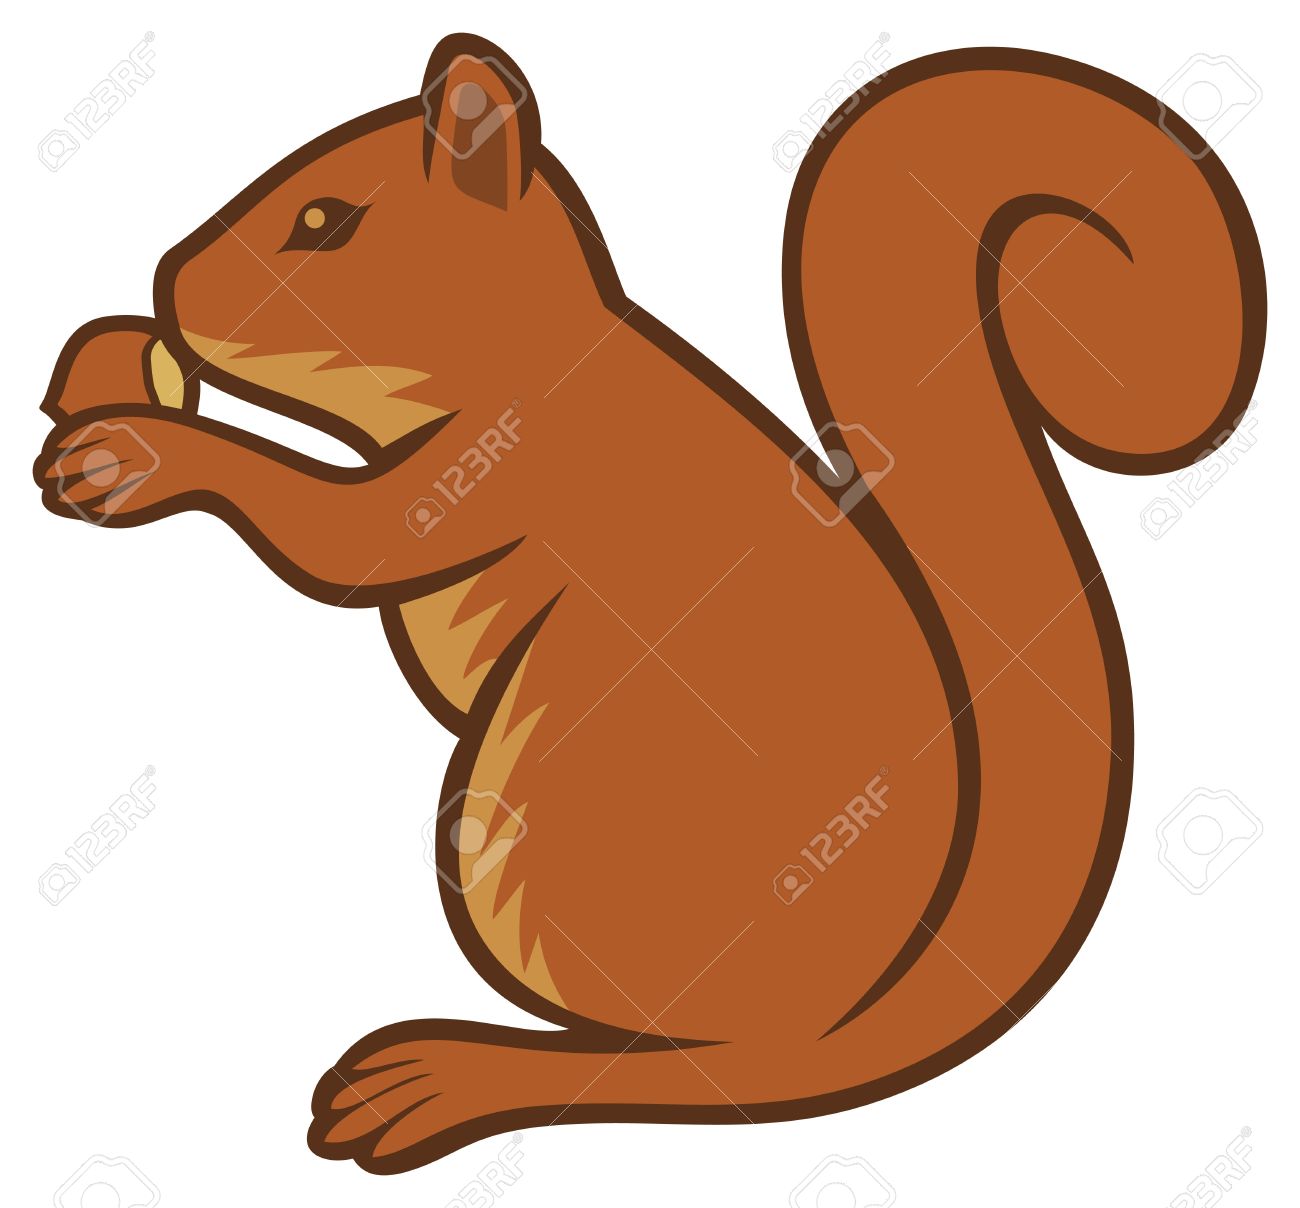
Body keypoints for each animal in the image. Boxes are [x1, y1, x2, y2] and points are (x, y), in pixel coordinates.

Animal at [35, 34, 1264, 1175]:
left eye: (325, 222)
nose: (166, 286)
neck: (529, 347)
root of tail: (863, 1012)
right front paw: (107, 362)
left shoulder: (505, 465)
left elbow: (346, 542)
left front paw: (147, 454)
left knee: (689, 1063)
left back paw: (446, 1078)